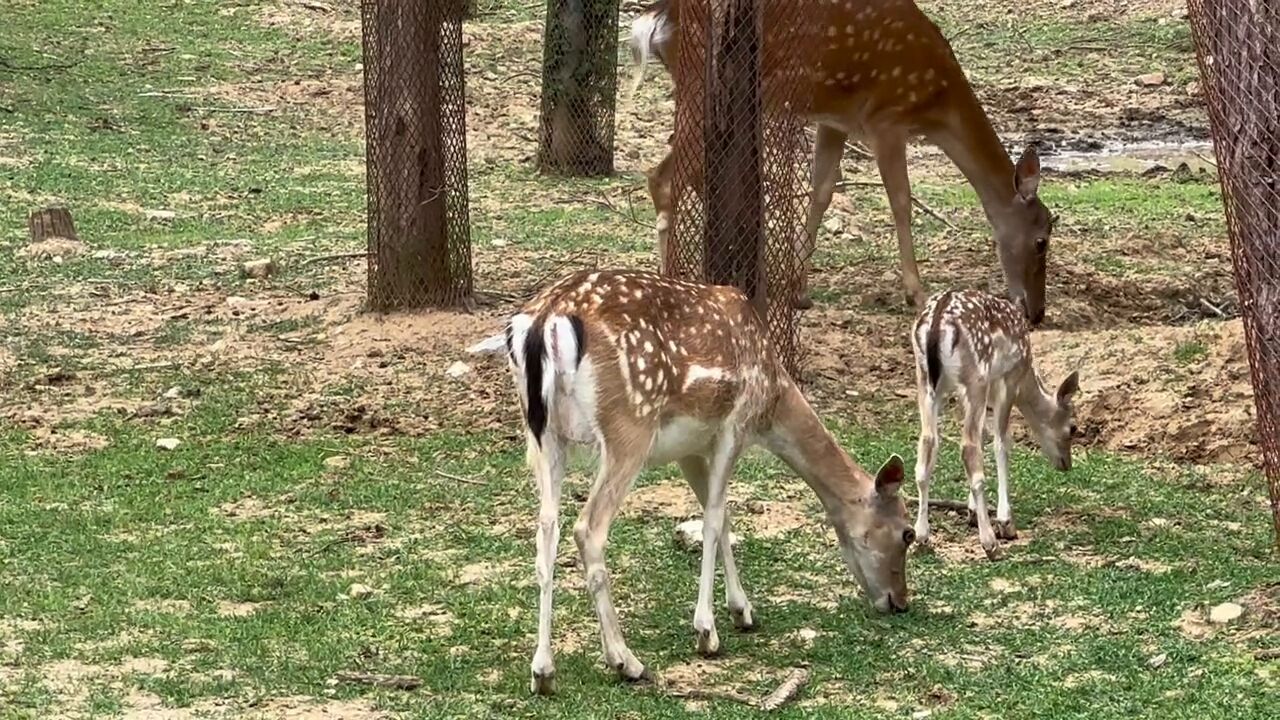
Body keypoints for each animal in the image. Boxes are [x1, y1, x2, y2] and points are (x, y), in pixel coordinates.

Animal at [468, 267, 911, 691]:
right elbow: (714, 520)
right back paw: (625, 661)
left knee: (546, 529)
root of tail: (546, 319)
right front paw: (707, 632)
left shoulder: (690, 449)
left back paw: (543, 671)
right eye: (908, 534)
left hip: (542, 435)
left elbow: (723, 516)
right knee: (588, 528)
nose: (900, 601)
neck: (772, 399)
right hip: (628, 426)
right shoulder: (734, 426)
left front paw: (742, 611)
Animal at [629, 0, 1059, 320]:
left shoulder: (835, 121)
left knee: (680, 174)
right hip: (701, 83)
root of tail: (654, 19)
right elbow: (901, 202)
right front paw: (917, 293)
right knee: (662, 177)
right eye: (1042, 240)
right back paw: (673, 281)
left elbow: (823, 189)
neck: (936, 106)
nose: (1036, 312)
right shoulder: (886, 119)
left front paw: (799, 288)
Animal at [911, 288, 1080, 558]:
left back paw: (922, 536)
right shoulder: (1007, 380)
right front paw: (1005, 522)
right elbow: (1002, 443)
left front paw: (971, 512)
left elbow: (983, 437)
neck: (1028, 375)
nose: (1066, 463)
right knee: (968, 447)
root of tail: (937, 321)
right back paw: (990, 542)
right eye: (1073, 428)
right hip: (976, 375)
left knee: (927, 444)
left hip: (925, 379)